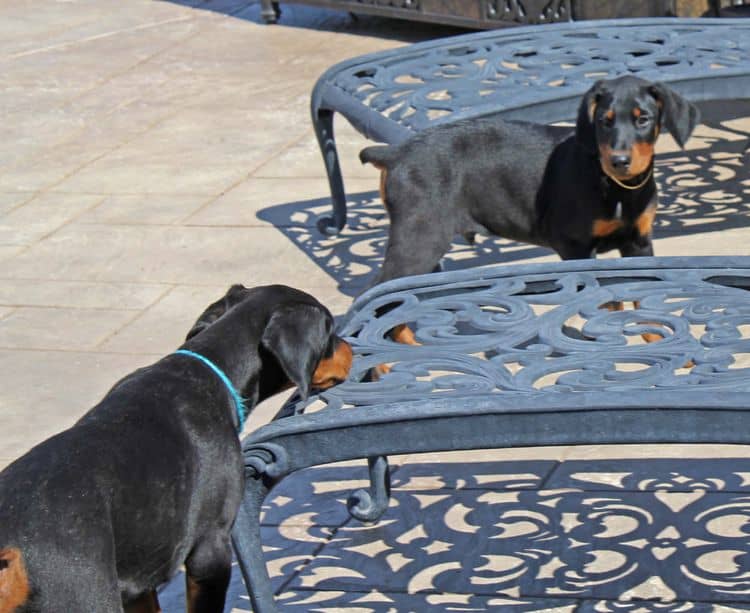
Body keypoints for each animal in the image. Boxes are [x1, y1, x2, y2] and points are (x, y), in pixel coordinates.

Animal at [0, 286, 352, 612]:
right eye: (329, 330)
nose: (351, 348)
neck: (212, 368)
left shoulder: (141, 577)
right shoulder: (211, 549)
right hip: (83, 593)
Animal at [362, 75, 704, 286]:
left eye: (643, 119)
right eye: (603, 122)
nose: (618, 161)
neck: (618, 190)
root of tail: (396, 152)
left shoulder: (638, 243)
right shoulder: (574, 245)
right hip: (419, 238)